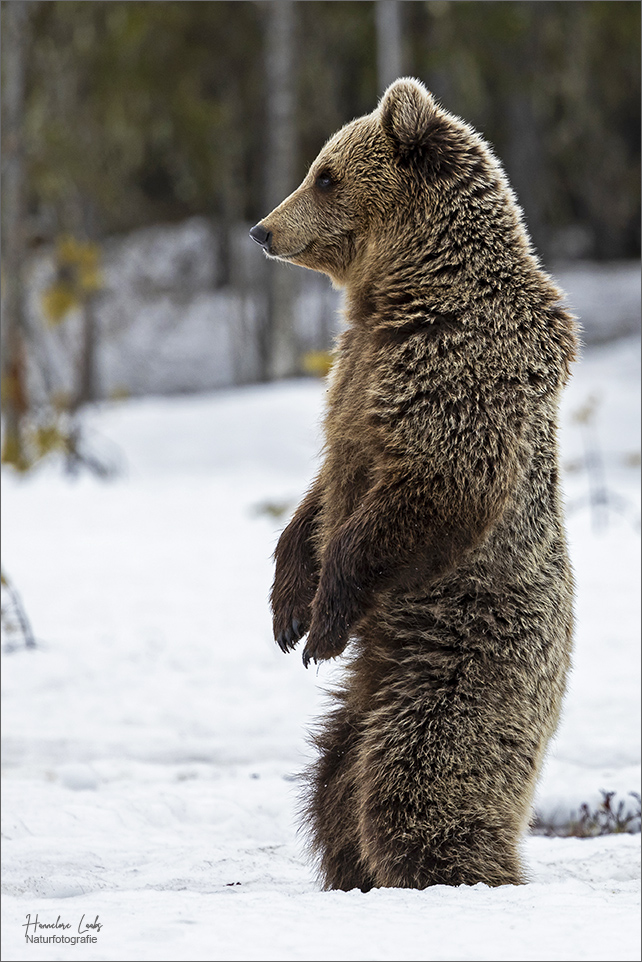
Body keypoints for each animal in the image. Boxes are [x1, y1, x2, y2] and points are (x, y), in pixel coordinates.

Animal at [250, 79, 576, 888]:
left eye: (324, 174)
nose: (262, 230)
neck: (406, 290)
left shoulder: (455, 367)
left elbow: (432, 485)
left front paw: (323, 620)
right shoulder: (356, 368)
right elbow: (319, 496)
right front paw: (286, 610)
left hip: (469, 661)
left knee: (416, 782)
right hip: (367, 698)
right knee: (335, 785)